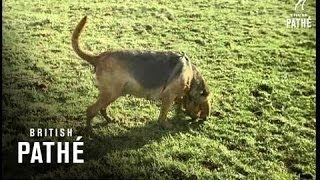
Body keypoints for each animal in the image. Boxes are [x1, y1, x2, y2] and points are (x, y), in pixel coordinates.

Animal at [71, 16, 210, 129]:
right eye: (203, 105)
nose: (205, 118)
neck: (191, 76)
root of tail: (98, 57)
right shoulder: (168, 97)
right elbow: (163, 115)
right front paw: (165, 125)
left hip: (113, 94)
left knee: (102, 109)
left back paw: (110, 119)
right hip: (110, 93)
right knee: (91, 110)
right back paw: (89, 131)